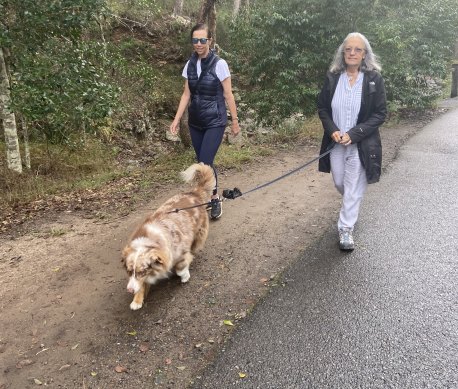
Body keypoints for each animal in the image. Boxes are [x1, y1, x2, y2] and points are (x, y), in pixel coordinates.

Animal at [121, 163, 216, 310]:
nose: (130, 290)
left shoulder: (178, 252)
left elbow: (180, 267)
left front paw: (184, 276)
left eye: (142, 271)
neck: (150, 242)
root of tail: (193, 193)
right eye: (129, 271)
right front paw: (136, 300)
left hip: (200, 232)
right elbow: (141, 285)